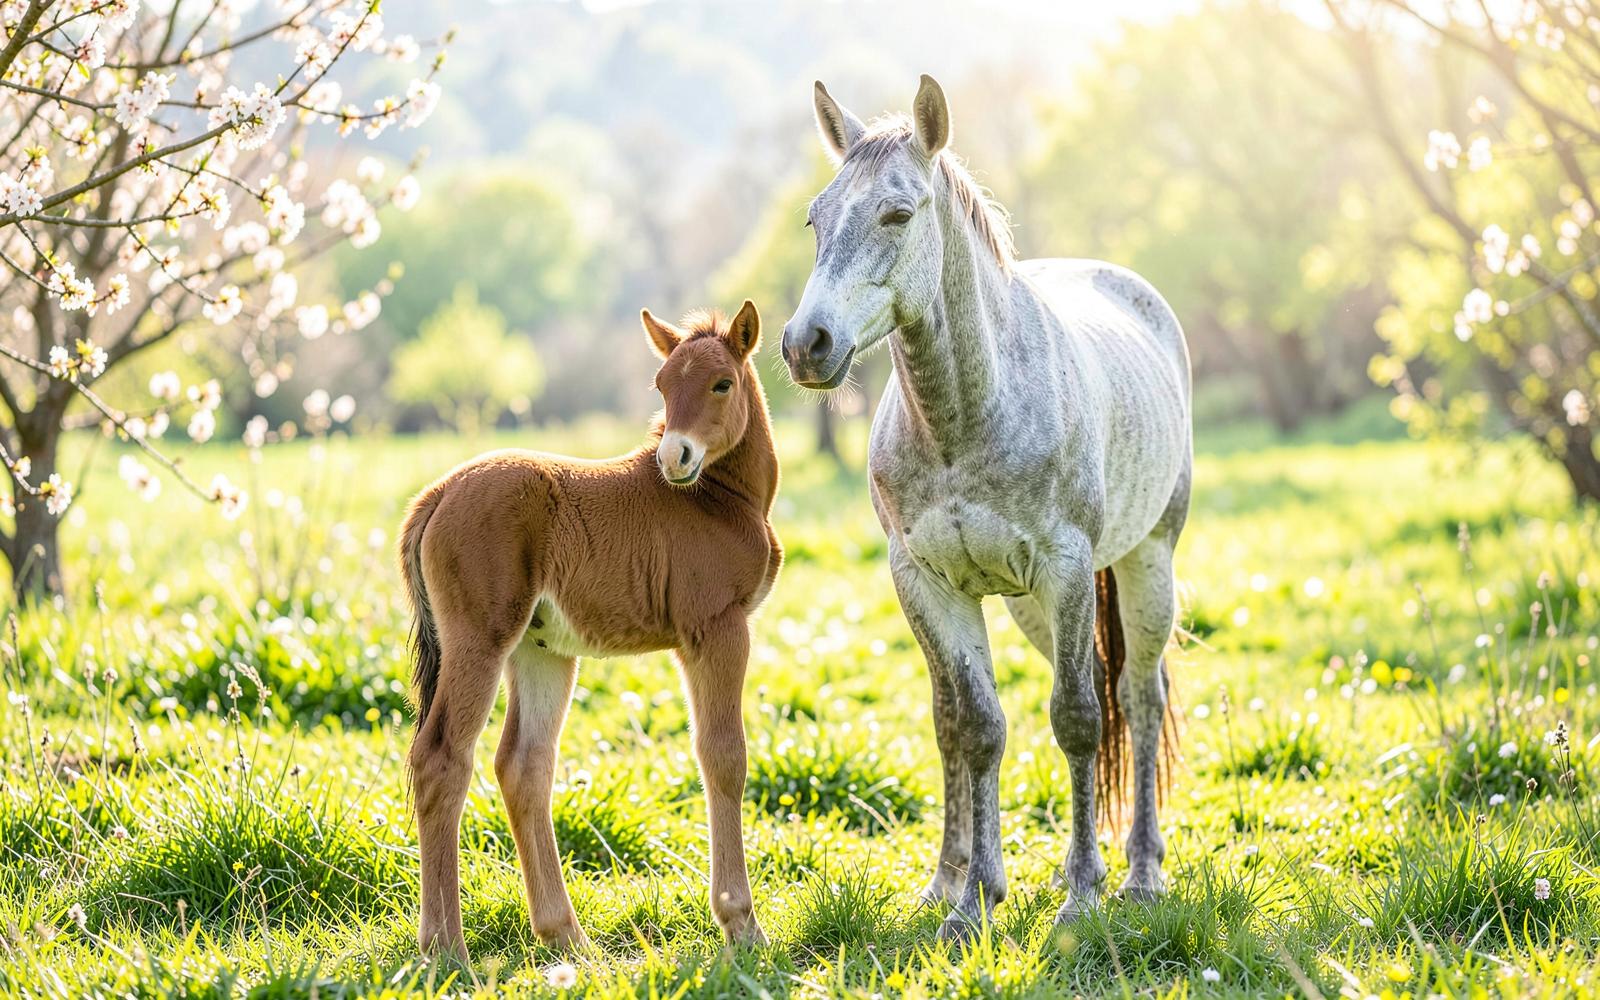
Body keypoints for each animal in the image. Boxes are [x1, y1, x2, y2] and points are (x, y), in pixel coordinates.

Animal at [399, 301, 781, 959]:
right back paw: (446, 950)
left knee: (524, 766)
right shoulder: (716, 630)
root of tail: (439, 493)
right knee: (441, 760)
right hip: (480, 642)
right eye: (662, 385)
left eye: (721, 384)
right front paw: (742, 924)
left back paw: (566, 938)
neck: (716, 499)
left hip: (542, 652)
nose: (673, 458)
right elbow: (723, 756)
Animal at [781, 75, 1191, 940]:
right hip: (1031, 608)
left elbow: (1076, 719)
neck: (967, 417)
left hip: (1146, 564)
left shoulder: (1066, 569)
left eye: (897, 214)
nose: (806, 344)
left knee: (1137, 697)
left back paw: (1138, 872)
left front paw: (1079, 897)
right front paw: (968, 903)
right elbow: (972, 728)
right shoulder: (928, 582)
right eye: (815, 218)